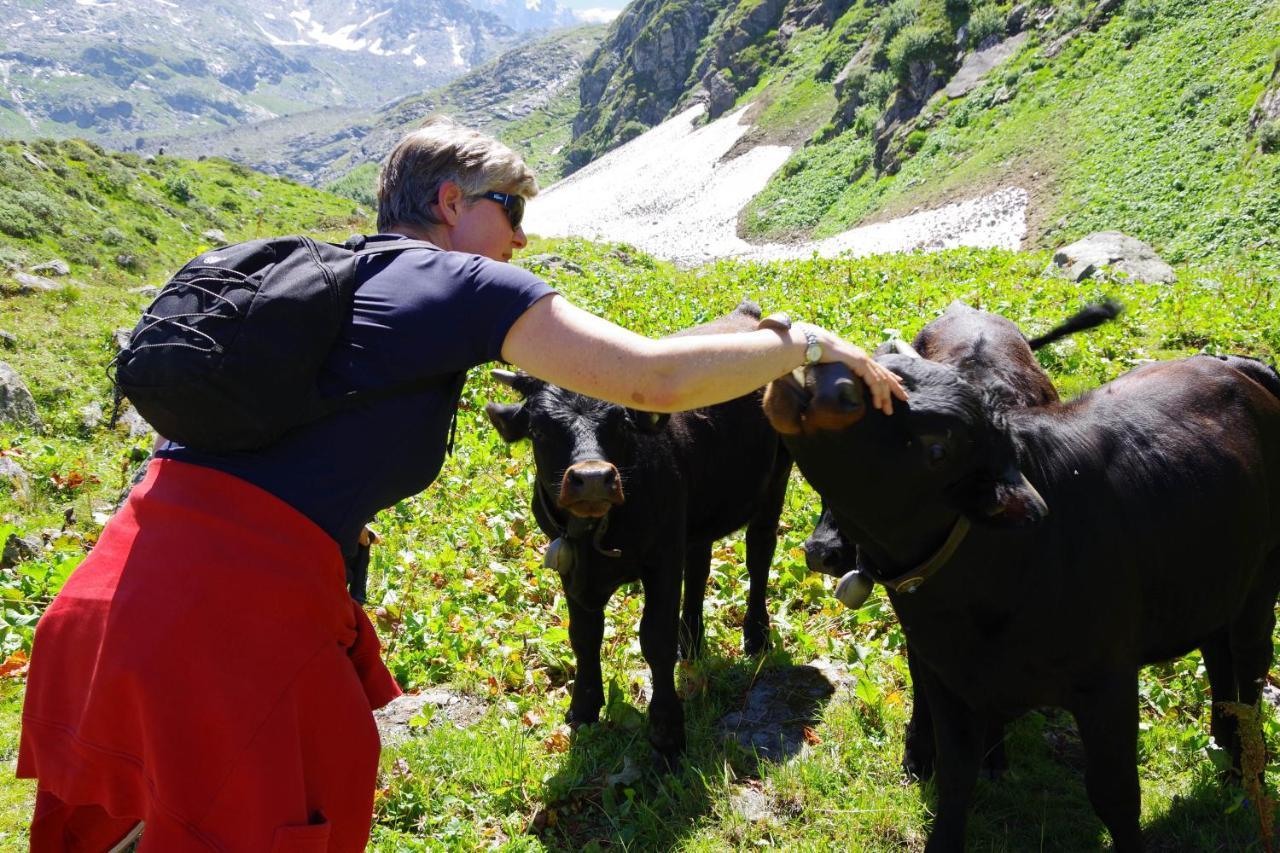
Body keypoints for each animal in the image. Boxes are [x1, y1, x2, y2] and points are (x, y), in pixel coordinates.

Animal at [762, 348, 1280, 845]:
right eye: (881, 366)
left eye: (938, 449)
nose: (833, 383)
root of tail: (1230, 365)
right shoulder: (944, 676)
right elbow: (955, 779)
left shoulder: (1108, 682)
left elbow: (1115, 796)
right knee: (1218, 660)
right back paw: (1223, 752)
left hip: (1259, 594)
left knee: (1250, 676)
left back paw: (1245, 773)